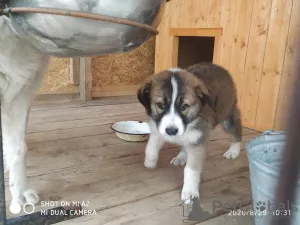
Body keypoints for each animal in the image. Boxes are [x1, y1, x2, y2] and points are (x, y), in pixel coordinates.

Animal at [137, 62, 243, 204]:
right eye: (161, 105)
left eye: (184, 106)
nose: (171, 131)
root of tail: (218, 66)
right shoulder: (158, 128)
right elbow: (150, 149)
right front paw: (150, 163)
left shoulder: (198, 139)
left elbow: (191, 169)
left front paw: (190, 193)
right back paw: (181, 157)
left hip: (227, 116)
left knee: (236, 131)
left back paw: (234, 151)